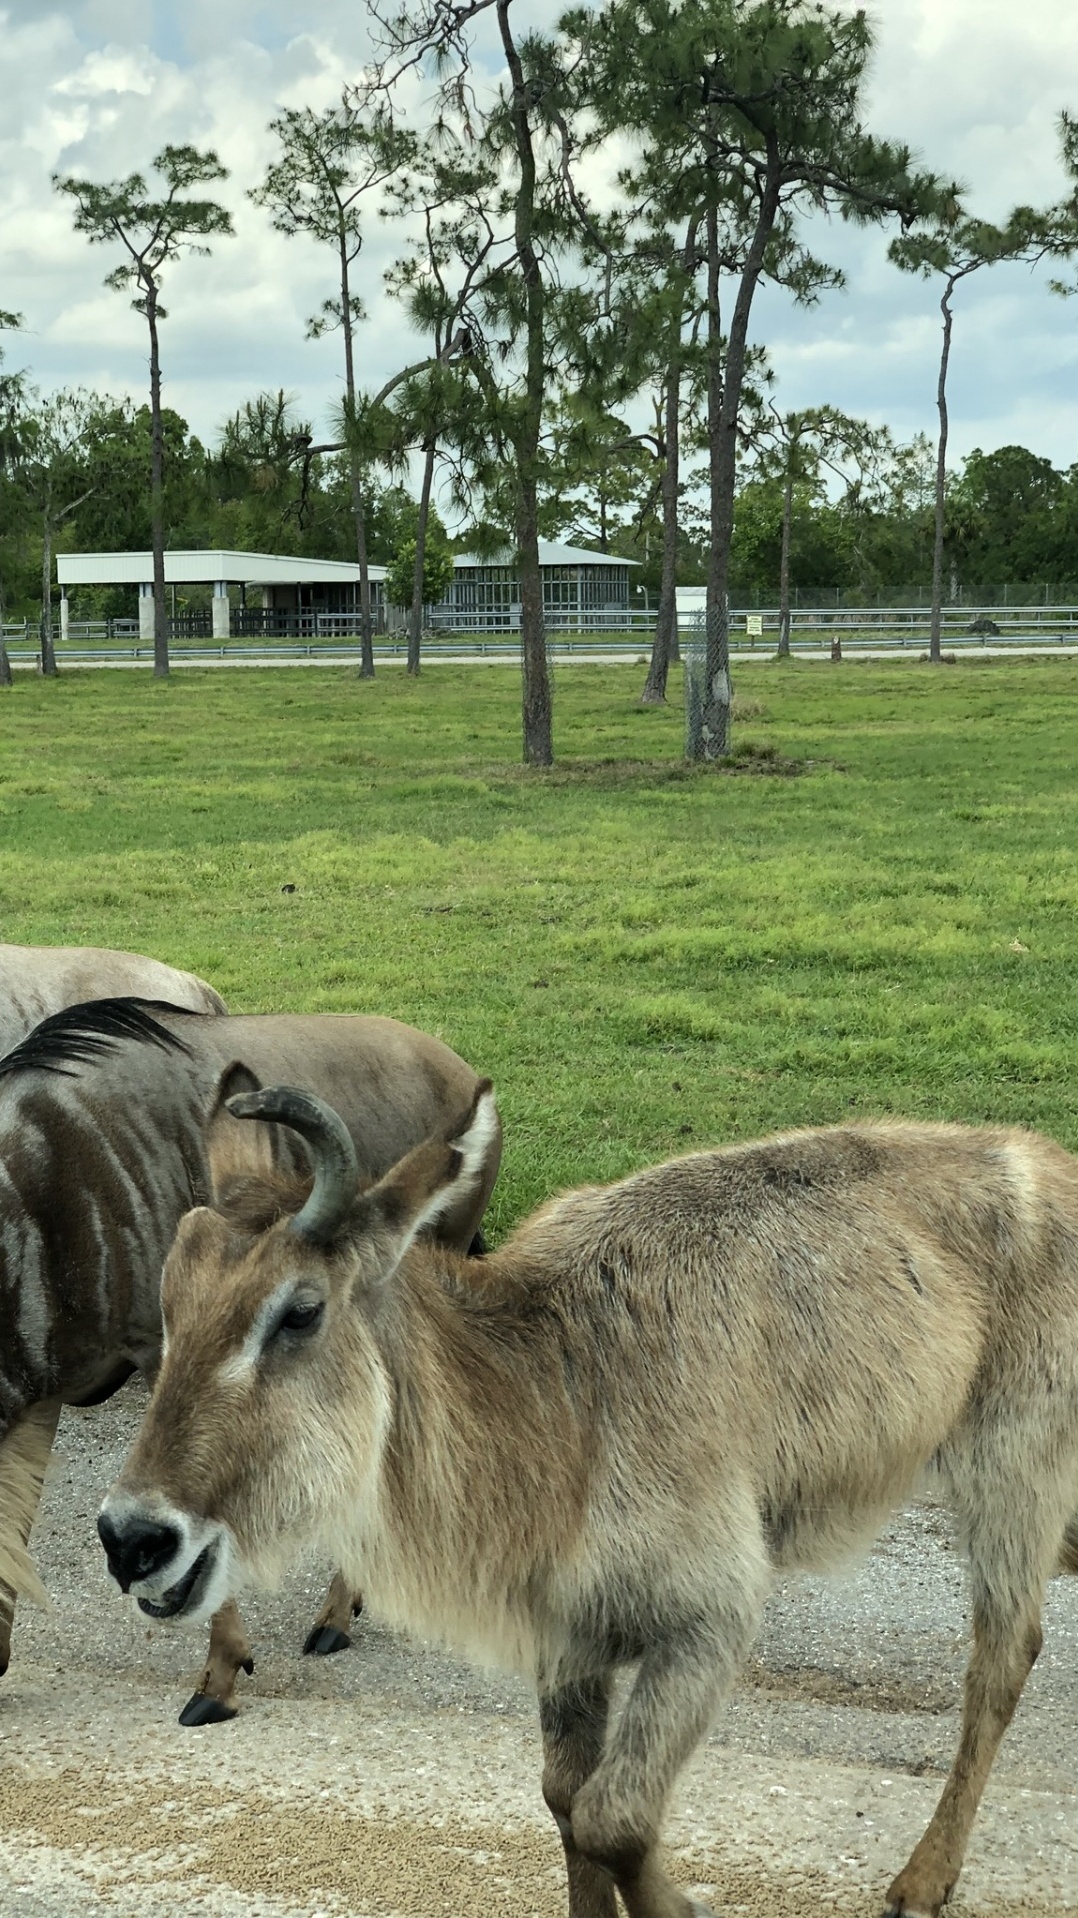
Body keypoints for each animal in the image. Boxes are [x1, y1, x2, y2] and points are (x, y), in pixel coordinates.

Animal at [105, 1089, 1074, 1918]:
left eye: (299, 1310)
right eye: (169, 1299)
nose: (131, 1538)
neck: (559, 1397)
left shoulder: (708, 1623)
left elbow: (615, 1818)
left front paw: (684, 1904)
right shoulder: (568, 1642)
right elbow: (567, 1801)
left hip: (1010, 1469)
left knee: (1003, 1657)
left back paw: (923, 1879)